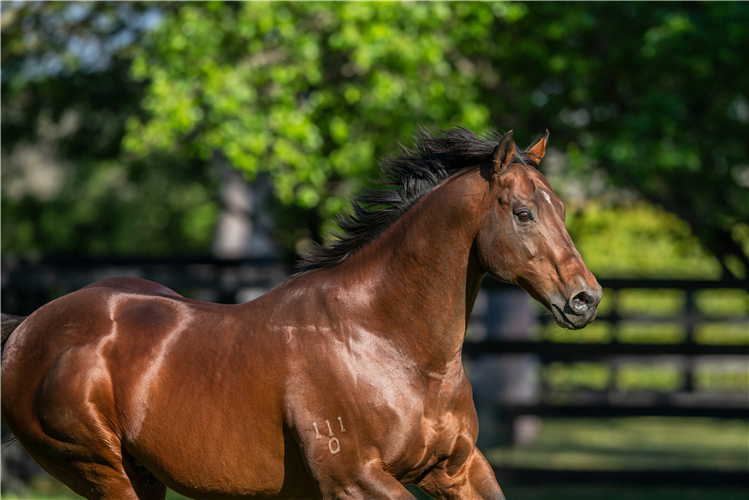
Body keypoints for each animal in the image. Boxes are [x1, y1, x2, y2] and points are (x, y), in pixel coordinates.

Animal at [0, 127, 600, 498]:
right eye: (523, 213)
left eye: (561, 208)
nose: (585, 299)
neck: (392, 345)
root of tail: (27, 328)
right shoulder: (355, 478)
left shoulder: (456, 469)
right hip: (102, 470)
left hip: (144, 476)